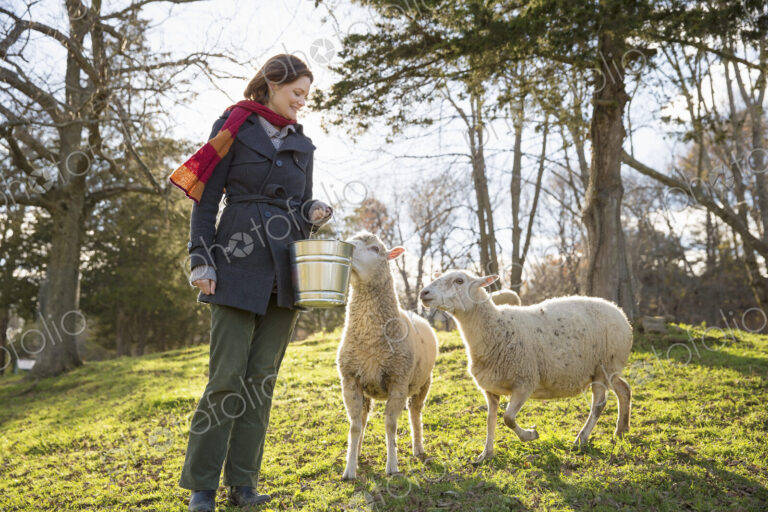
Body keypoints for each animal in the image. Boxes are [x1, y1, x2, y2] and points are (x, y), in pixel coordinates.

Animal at [337, 231, 439, 479]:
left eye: (375, 248)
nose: (346, 247)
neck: (370, 341)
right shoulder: (350, 379)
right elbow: (355, 425)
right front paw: (350, 468)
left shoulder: (398, 380)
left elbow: (390, 424)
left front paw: (392, 466)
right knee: (364, 419)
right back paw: (359, 450)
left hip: (423, 383)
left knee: (415, 414)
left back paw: (418, 447)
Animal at [419, 269, 632, 462]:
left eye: (459, 280)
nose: (423, 293)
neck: (496, 327)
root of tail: (621, 313)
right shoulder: (490, 389)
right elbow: (490, 420)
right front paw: (486, 454)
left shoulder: (525, 382)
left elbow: (508, 418)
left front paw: (530, 435)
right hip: (610, 370)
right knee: (624, 389)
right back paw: (621, 429)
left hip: (603, 366)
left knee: (599, 404)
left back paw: (582, 438)